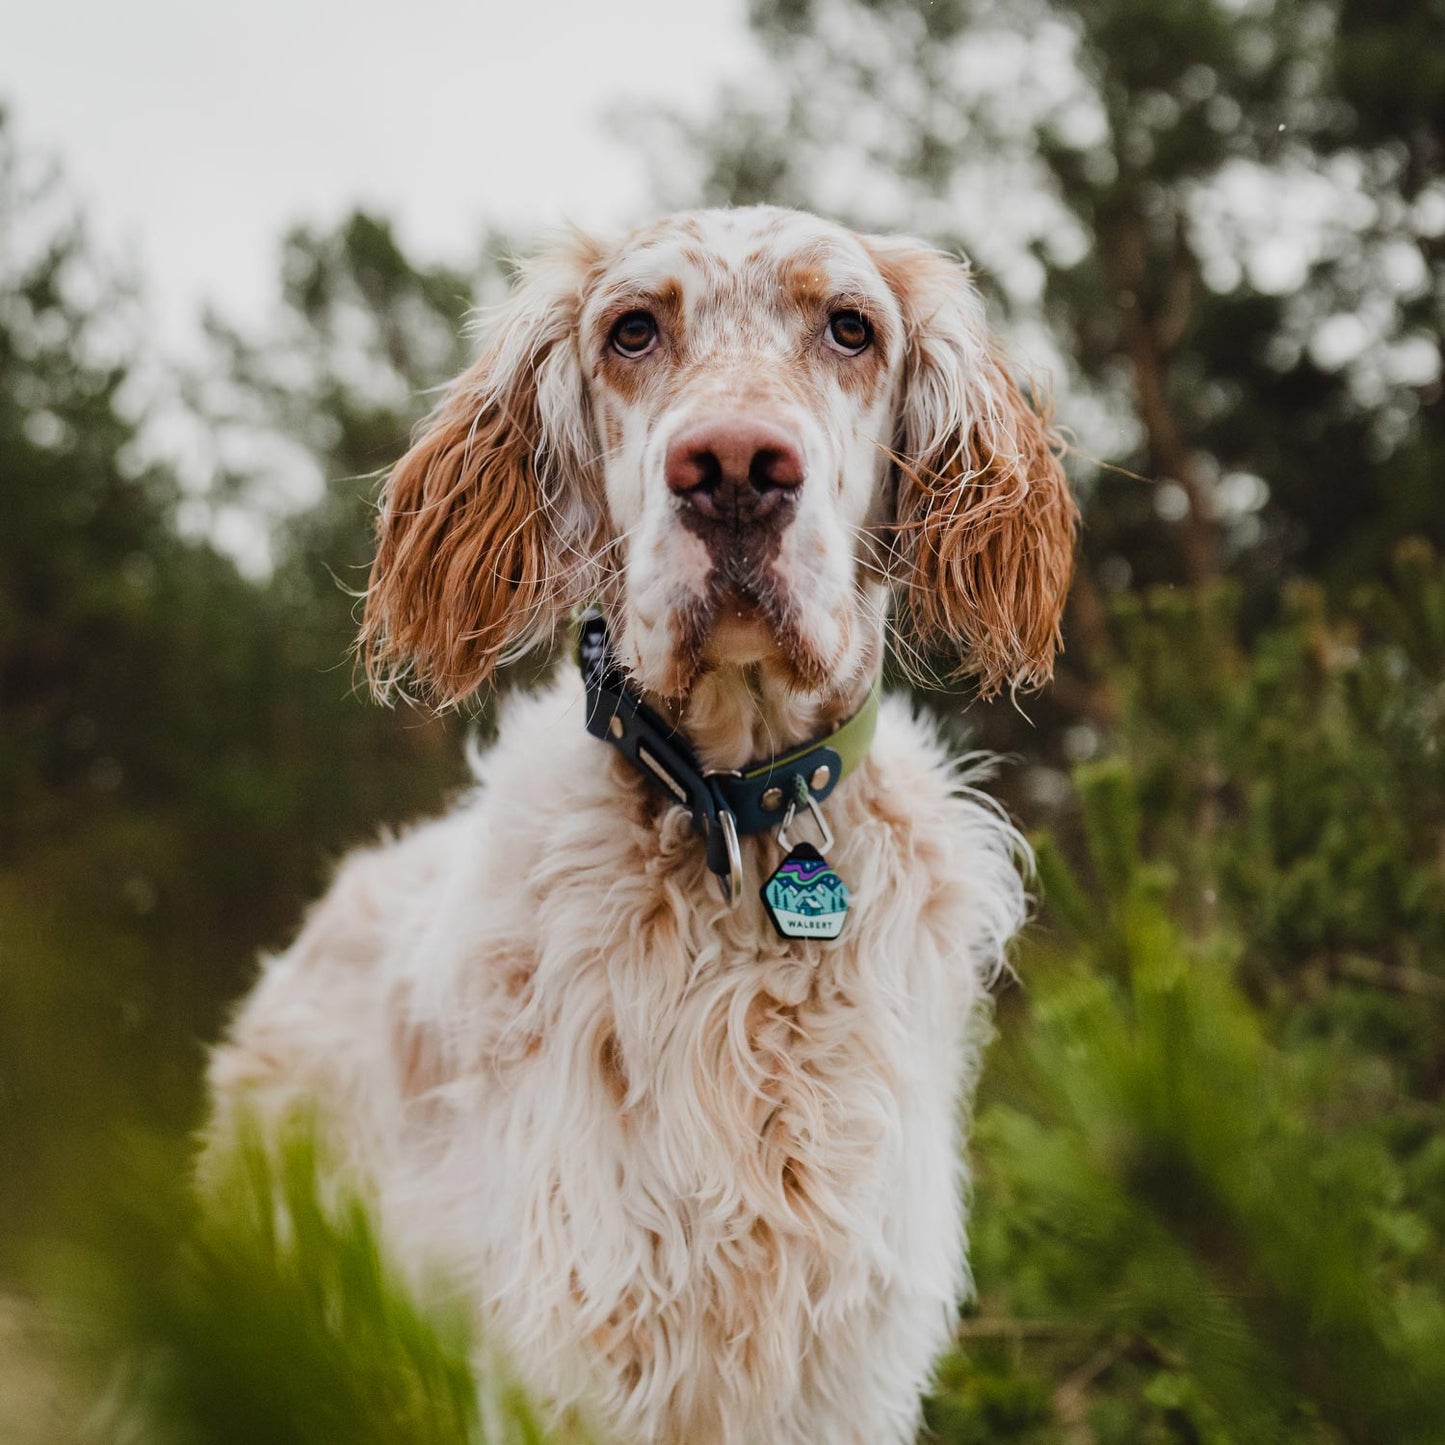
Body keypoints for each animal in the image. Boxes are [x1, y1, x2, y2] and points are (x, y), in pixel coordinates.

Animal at [209, 206, 1080, 1445]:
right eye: (632, 329)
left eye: (848, 327)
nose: (733, 472)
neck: (736, 827)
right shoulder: (570, 1344)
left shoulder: (836, 1362)